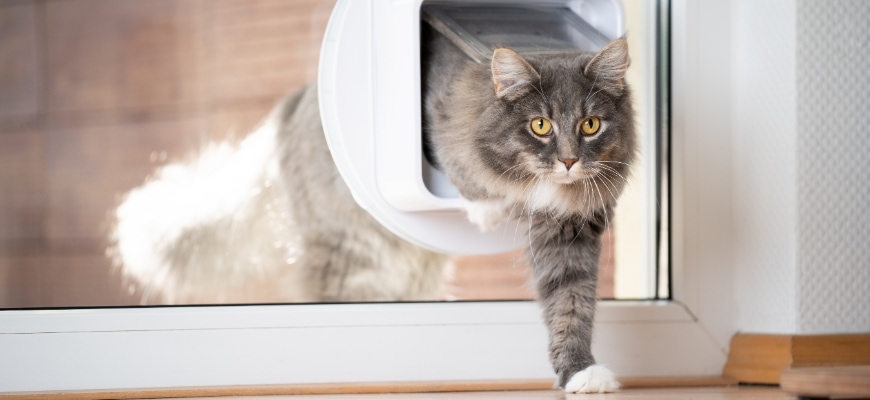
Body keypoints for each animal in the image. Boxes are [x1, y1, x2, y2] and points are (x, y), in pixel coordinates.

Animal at [112, 21, 636, 394]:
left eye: (590, 125)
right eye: (540, 126)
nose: (568, 161)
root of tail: (294, 104)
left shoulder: (570, 232)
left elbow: (570, 305)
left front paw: (581, 375)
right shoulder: (440, 126)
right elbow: (466, 173)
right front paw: (486, 209)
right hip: (353, 264)